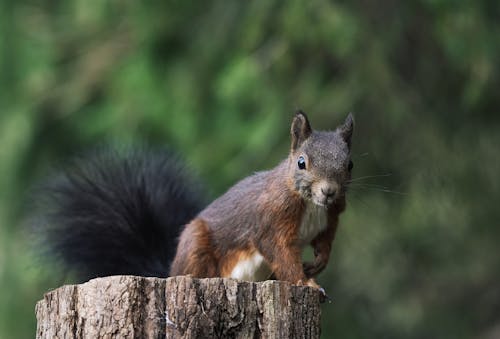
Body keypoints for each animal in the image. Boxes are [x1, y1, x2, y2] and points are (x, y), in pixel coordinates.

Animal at [33, 111, 354, 292]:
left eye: (349, 164)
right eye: (301, 162)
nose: (329, 191)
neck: (312, 205)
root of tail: (169, 272)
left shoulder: (332, 217)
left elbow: (325, 243)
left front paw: (317, 264)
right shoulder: (272, 219)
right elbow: (280, 252)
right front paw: (305, 282)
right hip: (196, 244)